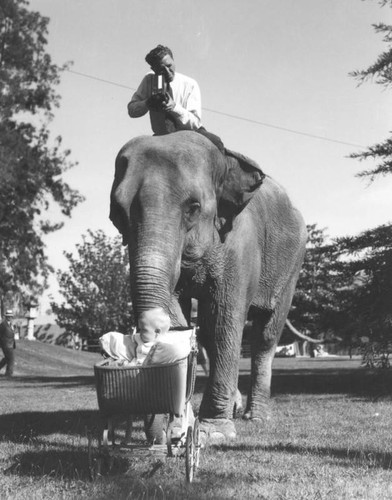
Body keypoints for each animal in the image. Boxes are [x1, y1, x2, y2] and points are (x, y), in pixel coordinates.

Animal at [108, 130, 308, 442]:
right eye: (117, 213)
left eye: (193, 208)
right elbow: (184, 313)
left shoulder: (239, 242)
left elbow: (223, 318)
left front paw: (214, 432)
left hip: (292, 264)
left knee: (264, 334)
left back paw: (256, 417)